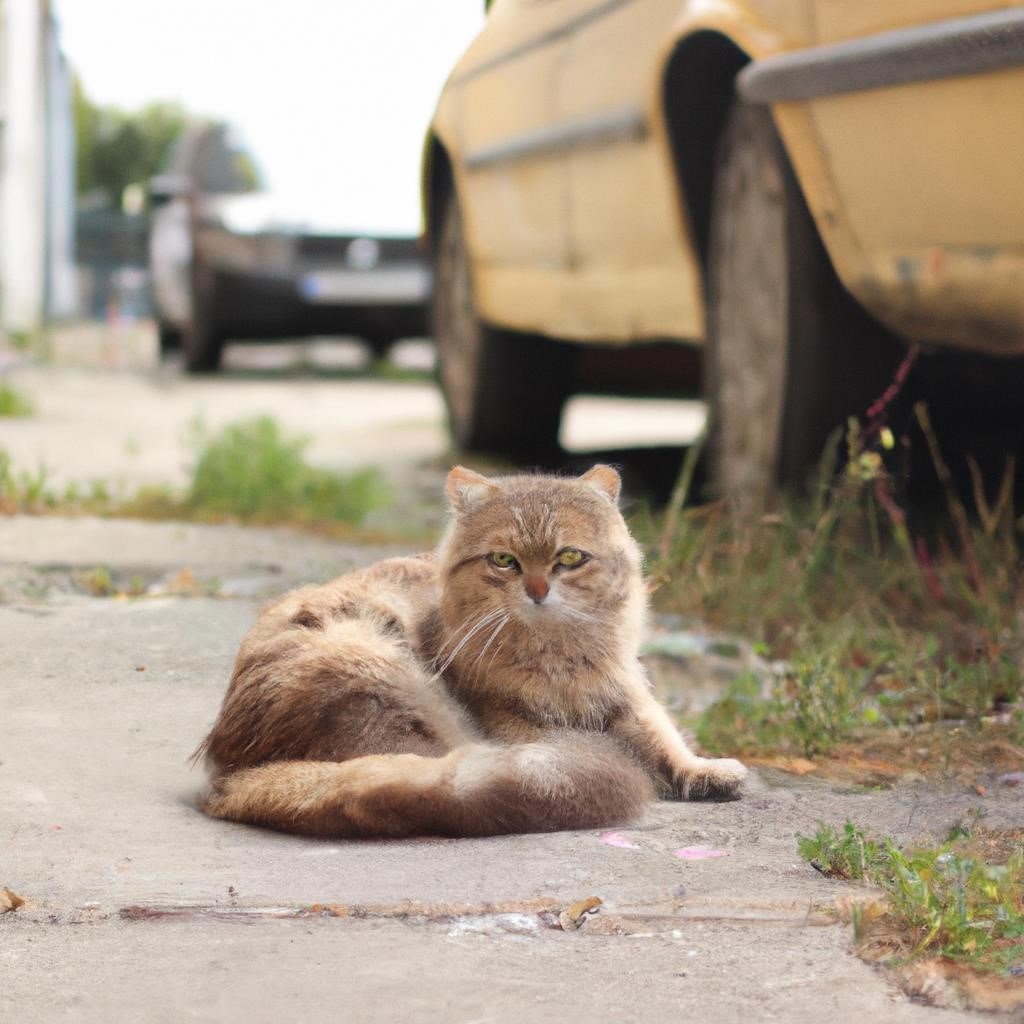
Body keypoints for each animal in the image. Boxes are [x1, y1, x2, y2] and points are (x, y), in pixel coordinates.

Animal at [195, 468, 749, 835]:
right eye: (504, 561)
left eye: (570, 557)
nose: (538, 590)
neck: (558, 659)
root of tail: (232, 773)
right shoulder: (518, 725)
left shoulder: (632, 698)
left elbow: (669, 743)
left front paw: (707, 772)